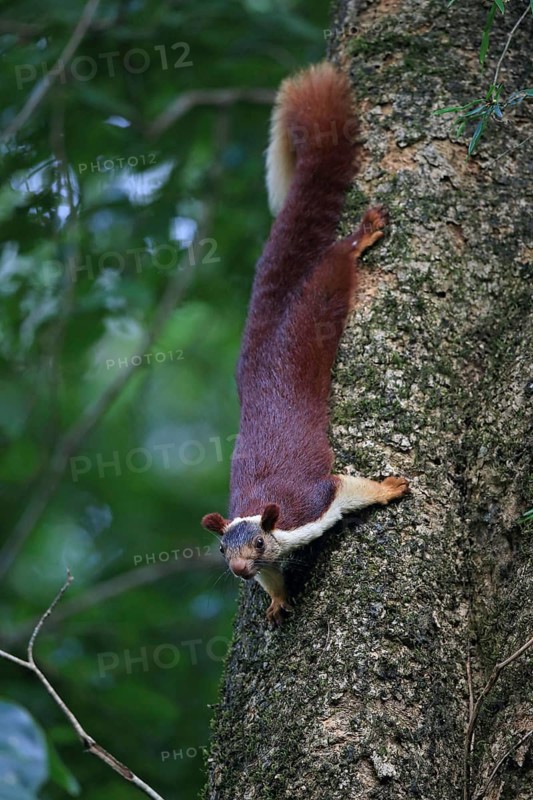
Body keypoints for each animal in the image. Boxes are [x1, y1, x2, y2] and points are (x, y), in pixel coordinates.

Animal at [202, 62, 410, 625]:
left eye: (257, 543)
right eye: (222, 549)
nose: (238, 572)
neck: (269, 514)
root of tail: (267, 348)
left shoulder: (312, 502)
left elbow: (350, 487)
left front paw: (389, 488)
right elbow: (275, 580)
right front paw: (276, 600)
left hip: (316, 306)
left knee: (332, 268)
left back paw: (361, 236)